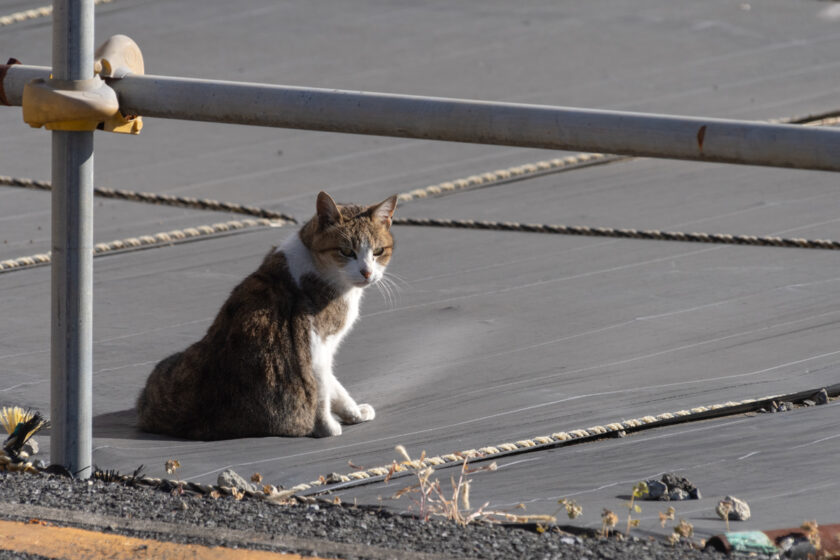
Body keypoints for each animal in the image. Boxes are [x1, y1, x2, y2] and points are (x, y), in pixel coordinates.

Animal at [136, 190, 398, 440]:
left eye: (378, 252)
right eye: (346, 251)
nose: (367, 273)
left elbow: (334, 386)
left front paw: (353, 414)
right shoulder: (319, 344)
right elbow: (323, 389)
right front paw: (329, 427)